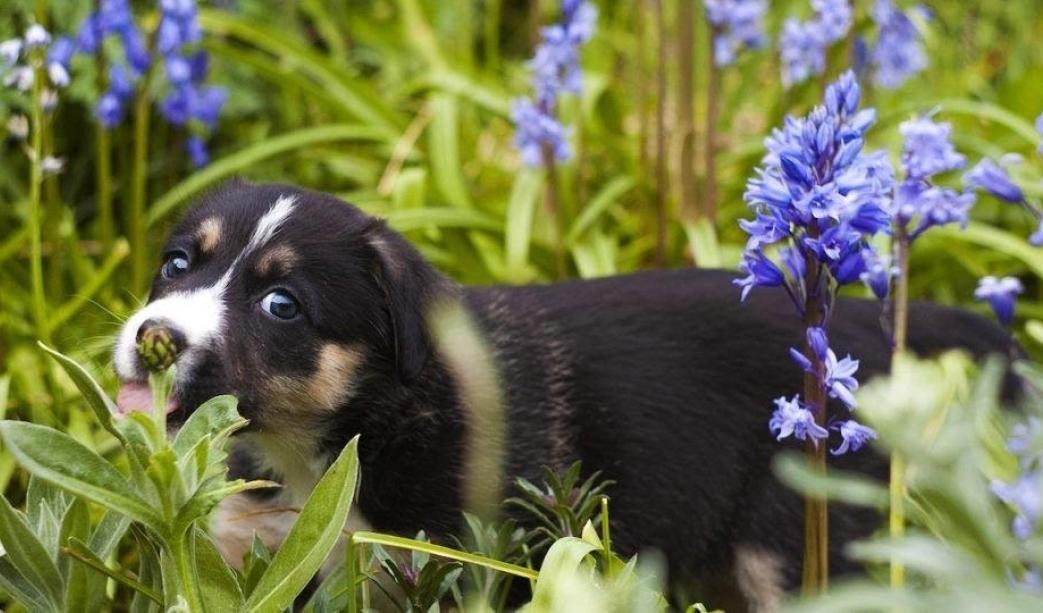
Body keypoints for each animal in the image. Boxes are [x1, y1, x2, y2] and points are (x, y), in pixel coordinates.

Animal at [116, 178, 1017, 608]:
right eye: (177, 262)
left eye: (282, 305)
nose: (151, 337)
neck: (329, 444)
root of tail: (861, 329)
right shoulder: (253, 553)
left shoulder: (456, 564)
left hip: (796, 539)